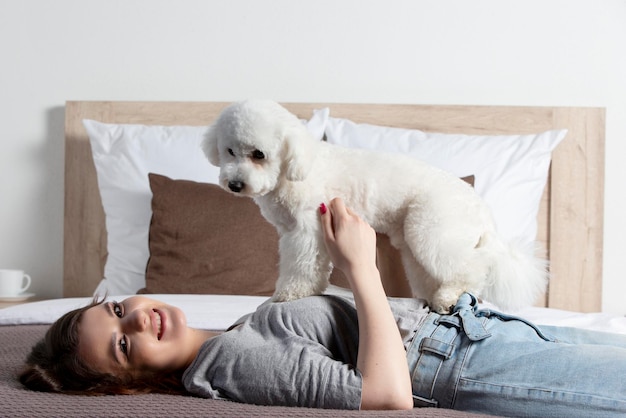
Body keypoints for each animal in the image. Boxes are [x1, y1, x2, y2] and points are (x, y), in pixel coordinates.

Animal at [201, 99, 544, 312]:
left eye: (258, 154)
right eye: (229, 150)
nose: (235, 184)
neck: (294, 169)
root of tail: (481, 209)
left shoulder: (307, 231)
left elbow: (303, 267)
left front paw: (292, 294)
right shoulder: (289, 234)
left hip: (433, 229)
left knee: (472, 269)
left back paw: (449, 298)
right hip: (416, 241)